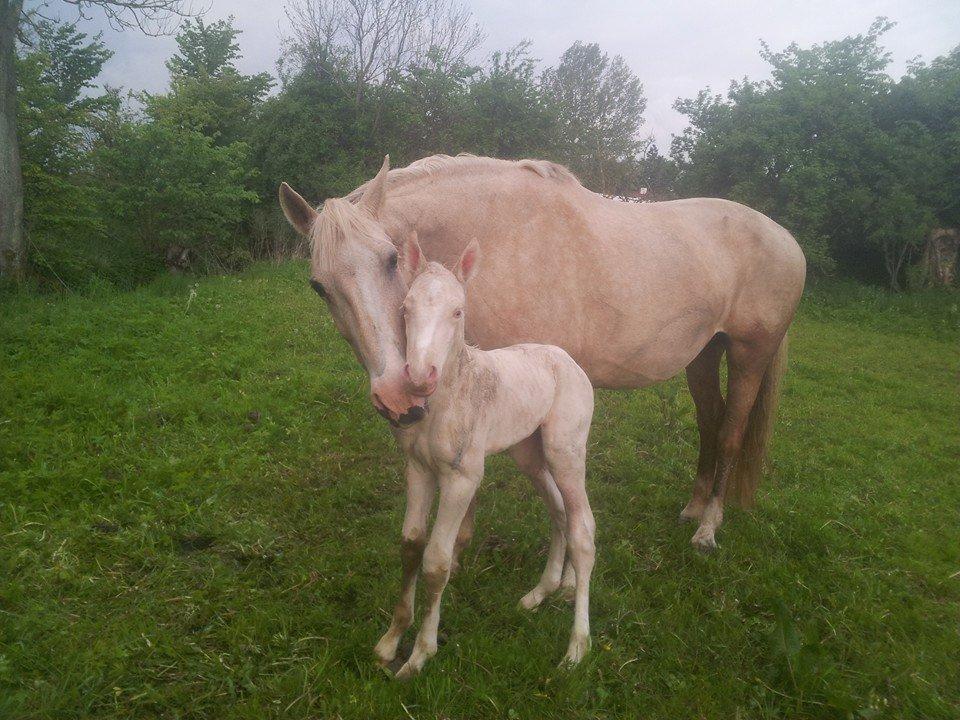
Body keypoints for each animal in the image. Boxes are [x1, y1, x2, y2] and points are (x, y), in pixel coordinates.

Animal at [278, 153, 804, 552]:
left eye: (390, 260)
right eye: (319, 286)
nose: (395, 397)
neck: (493, 240)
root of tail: (787, 240)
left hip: (749, 354)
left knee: (731, 433)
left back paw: (707, 528)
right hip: (703, 355)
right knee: (710, 423)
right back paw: (692, 508)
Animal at [374, 236, 592, 680]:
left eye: (458, 311)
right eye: (406, 308)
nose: (419, 376)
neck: (447, 400)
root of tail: (569, 361)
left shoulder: (463, 477)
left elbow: (437, 561)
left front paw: (420, 655)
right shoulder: (418, 470)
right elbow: (410, 545)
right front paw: (390, 642)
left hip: (565, 450)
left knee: (583, 529)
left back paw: (577, 647)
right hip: (530, 454)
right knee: (559, 511)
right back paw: (544, 592)